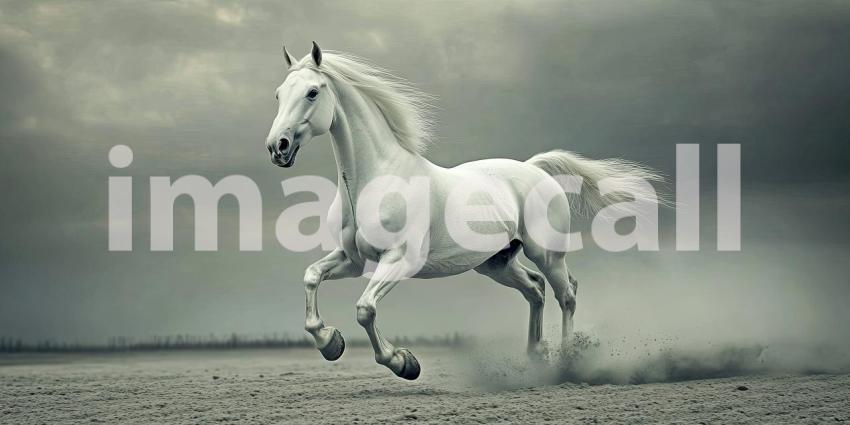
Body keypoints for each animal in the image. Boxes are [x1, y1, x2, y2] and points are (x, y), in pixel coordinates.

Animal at [265, 42, 663, 380]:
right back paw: (535, 356)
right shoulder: (353, 259)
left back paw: (566, 362)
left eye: (312, 92)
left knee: (567, 294)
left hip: (547, 253)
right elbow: (312, 276)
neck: (375, 179)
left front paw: (403, 363)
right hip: (497, 262)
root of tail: (533, 168)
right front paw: (329, 342)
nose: (277, 147)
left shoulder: (400, 260)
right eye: (279, 93)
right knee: (535, 290)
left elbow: (365, 308)